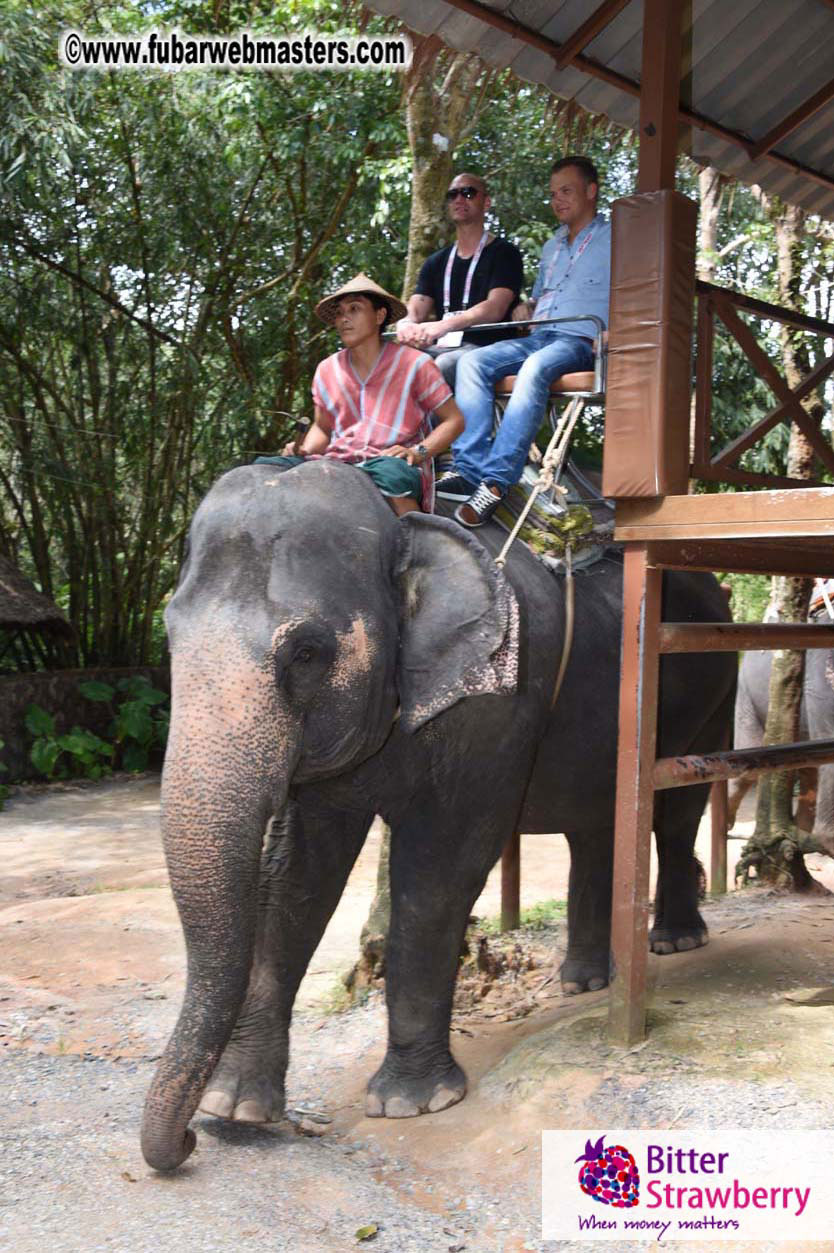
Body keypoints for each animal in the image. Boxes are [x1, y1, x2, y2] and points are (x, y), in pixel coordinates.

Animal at [140, 460, 736, 1171]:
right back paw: (584, 983)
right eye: (169, 636)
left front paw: (413, 1103)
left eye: (307, 652)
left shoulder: (494, 697)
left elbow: (439, 871)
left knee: (675, 811)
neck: (399, 524)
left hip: (714, 678)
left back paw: (672, 943)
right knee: (594, 824)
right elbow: (293, 879)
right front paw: (237, 1108)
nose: (184, 1143)